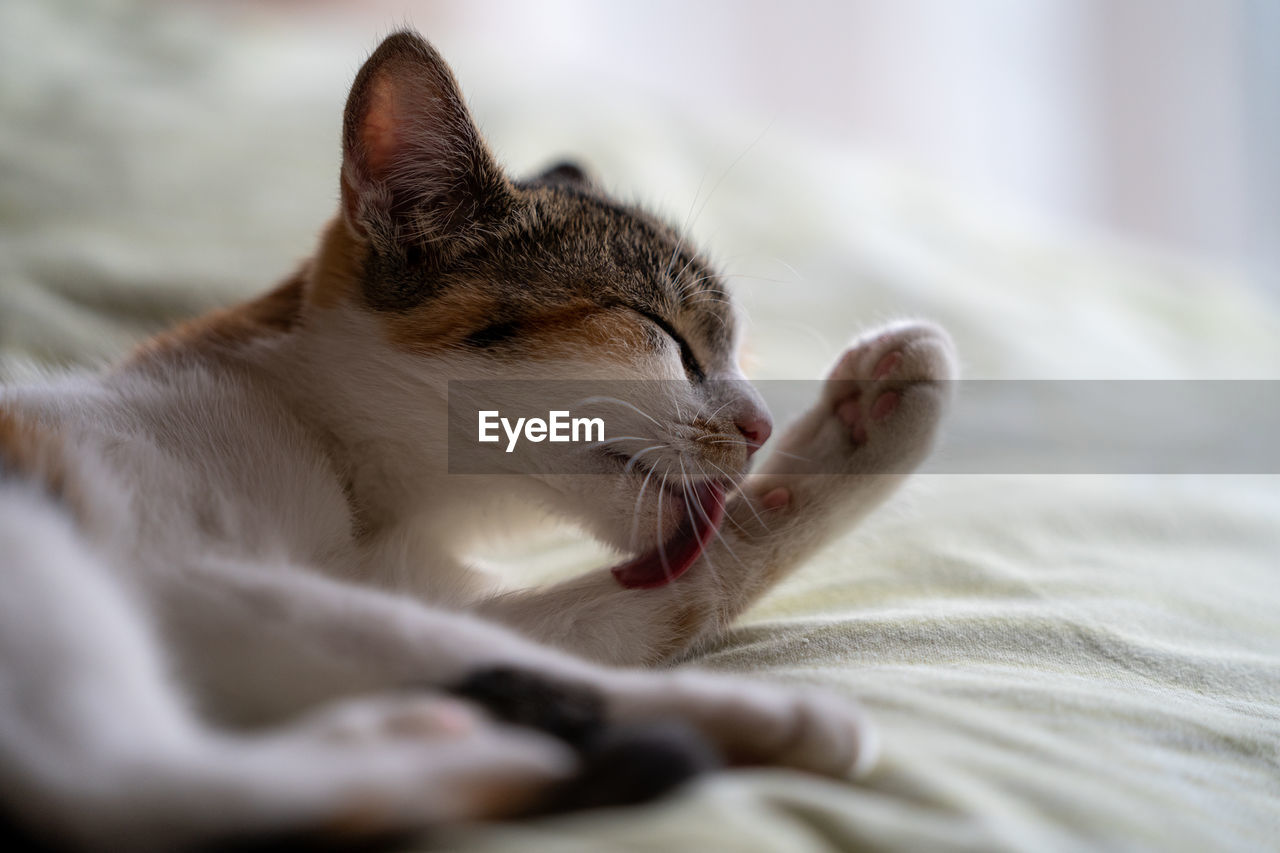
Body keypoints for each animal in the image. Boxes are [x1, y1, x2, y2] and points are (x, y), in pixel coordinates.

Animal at [0, 29, 952, 845]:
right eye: (665, 335)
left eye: (739, 354)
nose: (758, 425)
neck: (361, 487)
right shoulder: (173, 559)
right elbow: (449, 643)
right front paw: (767, 714)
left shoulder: (415, 587)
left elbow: (658, 598)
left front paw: (872, 419)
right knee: (124, 785)